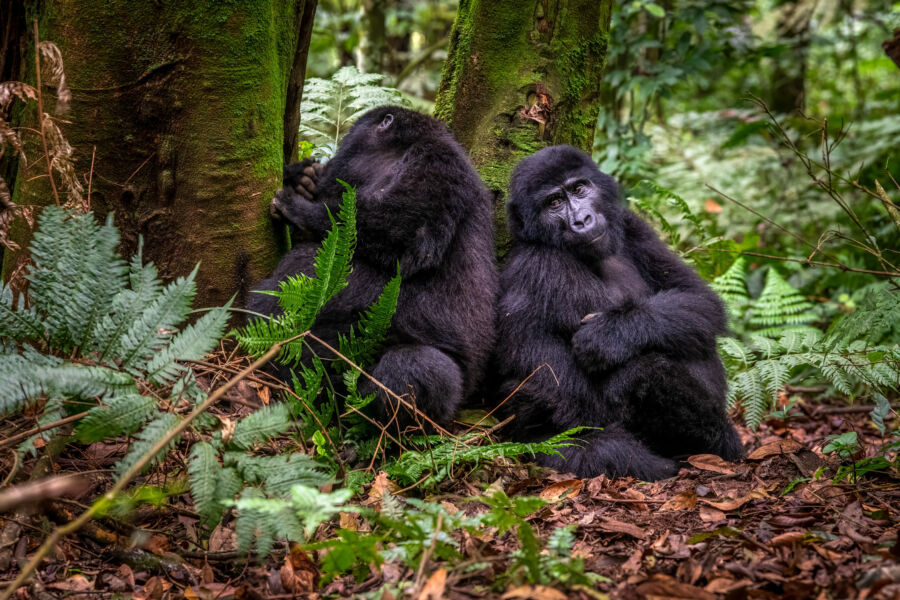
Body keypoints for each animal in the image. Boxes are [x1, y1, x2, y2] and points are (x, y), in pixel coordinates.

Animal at [496, 146, 740, 482]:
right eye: (554, 203)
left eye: (579, 189)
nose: (581, 220)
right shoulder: (536, 265)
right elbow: (557, 392)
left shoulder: (632, 223)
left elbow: (698, 298)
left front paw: (610, 335)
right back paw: (716, 439)